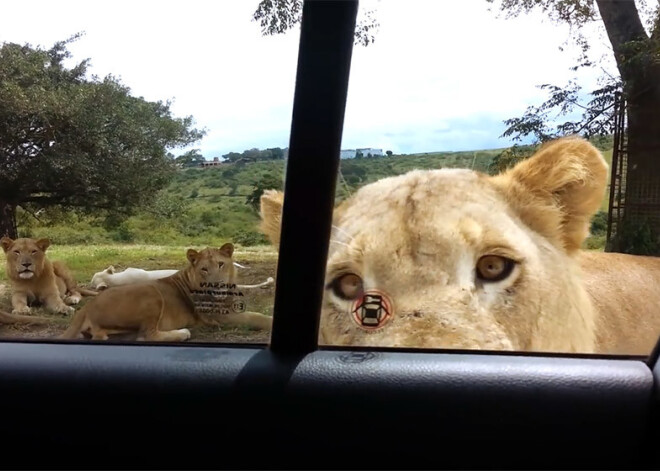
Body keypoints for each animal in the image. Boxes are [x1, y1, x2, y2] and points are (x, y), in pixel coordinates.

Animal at [58, 243, 272, 342]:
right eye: (204, 269)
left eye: (221, 264)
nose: (216, 285)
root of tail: (87, 308)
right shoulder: (220, 317)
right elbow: (256, 317)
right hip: (151, 294)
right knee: (147, 335)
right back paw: (183, 333)